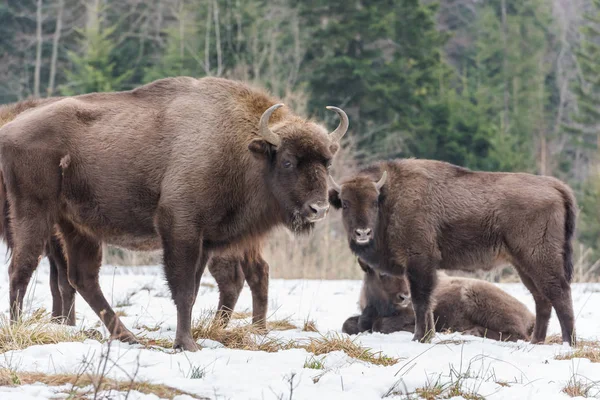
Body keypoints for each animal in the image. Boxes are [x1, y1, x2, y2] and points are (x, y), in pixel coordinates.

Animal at [0, 77, 350, 350]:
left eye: (327, 161)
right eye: (288, 161)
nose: (319, 208)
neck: (240, 147)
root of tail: (10, 130)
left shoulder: (205, 242)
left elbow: (192, 291)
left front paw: (188, 341)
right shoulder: (180, 229)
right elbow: (182, 290)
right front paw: (187, 344)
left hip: (75, 226)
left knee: (82, 278)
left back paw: (127, 336)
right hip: (34, 213)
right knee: (23, 267)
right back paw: (17, 328)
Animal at [342, 260, 536, 342]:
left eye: (405, 273)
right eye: (382, 273)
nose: (405, 296)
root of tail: (531, 316)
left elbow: (379, 325)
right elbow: (349, 324)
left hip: (475, 295)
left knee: (520, 335)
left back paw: (473, 332)